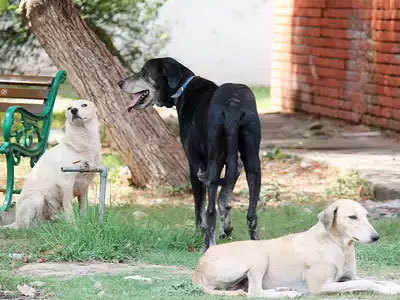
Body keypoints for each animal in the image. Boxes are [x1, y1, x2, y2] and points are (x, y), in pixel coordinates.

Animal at [6, 99, 101, 229]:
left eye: (84, 105)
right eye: (69, 108)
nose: (73, 110)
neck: (83, 143)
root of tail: (15, 221)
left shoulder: (84, 187)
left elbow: (83, 209)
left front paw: (84, 224)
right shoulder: (66, 183)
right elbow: (69, 208)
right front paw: (74, 228)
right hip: (37, 198)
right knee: (26, 227)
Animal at [118, 56, 262, 248]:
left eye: (144, 72)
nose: (119, 83)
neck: (183, 88)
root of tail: (233, 106)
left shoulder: (195, 165)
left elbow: (200, 208)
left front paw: (198, 234)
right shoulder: (236, 163)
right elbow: (224, 198)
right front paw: (227, 228)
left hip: (214, 162)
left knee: (210, 211)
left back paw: (208, 244)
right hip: (253, 161)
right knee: (251, 214)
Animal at [193, 199, 400, 298]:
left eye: (366, 216)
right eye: (352, 217)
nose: (376, 237)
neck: (338, 245)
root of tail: (198, 268)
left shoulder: (349, 277)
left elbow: (373, 279)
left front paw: (391, 285)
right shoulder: (321, 286)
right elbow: (366, 282)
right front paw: (388, 289)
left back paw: (282, 289)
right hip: (258, 255)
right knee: (254, 292)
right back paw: (288, 293)